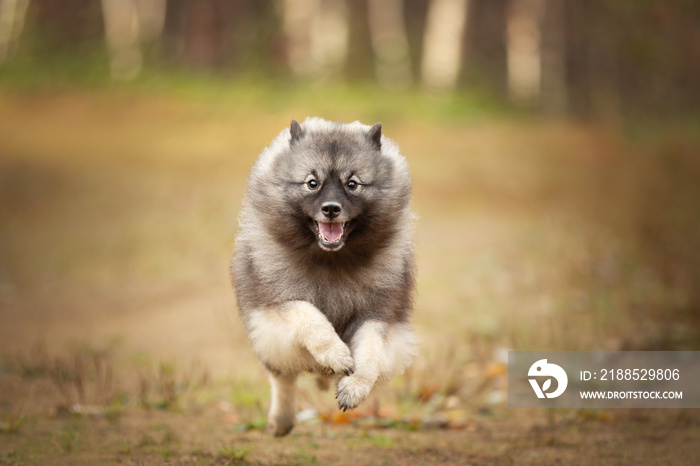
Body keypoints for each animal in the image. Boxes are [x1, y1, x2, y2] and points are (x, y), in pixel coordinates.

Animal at [232, 117, 416, 436]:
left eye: (352, 184)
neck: (331, 259)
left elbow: (370, 354)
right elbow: (309, 316)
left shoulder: (378, 314)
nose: (331, 209)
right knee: (283, 379)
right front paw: (336, 354)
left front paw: (354, 387)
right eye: (312, 183)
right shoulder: (274, 309)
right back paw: (281, 421)